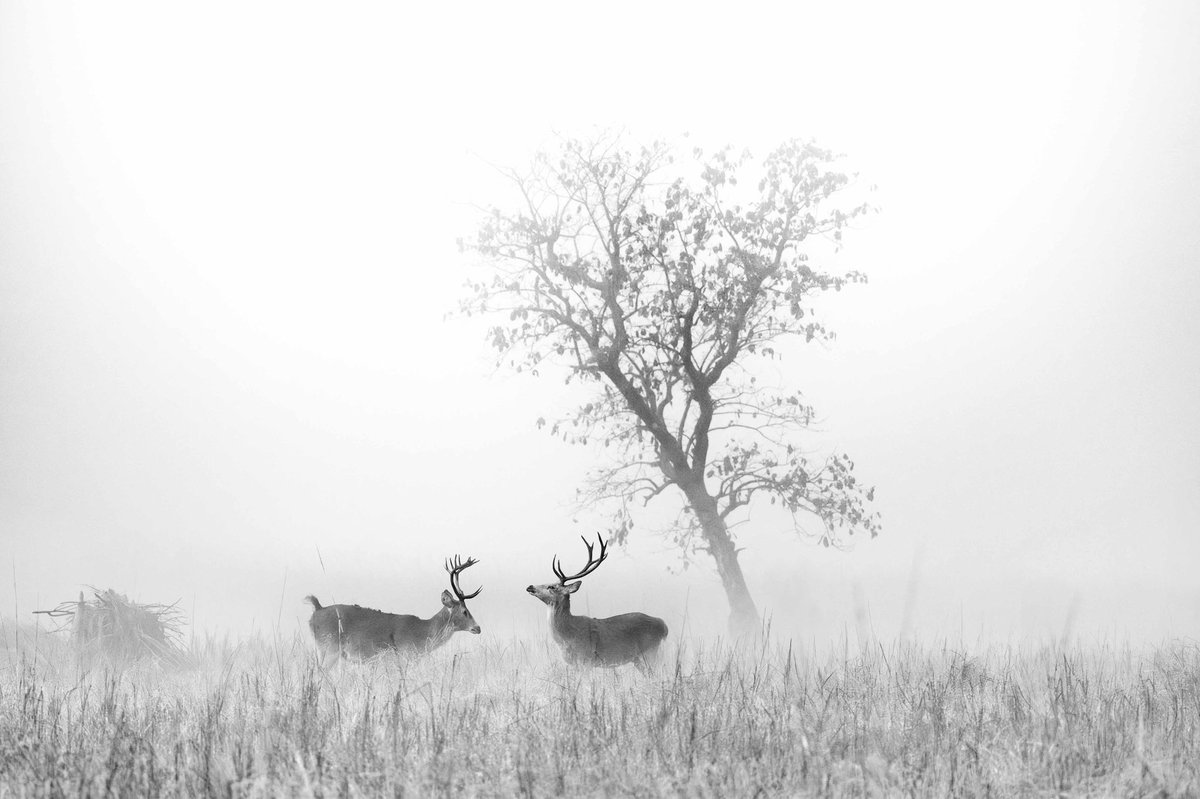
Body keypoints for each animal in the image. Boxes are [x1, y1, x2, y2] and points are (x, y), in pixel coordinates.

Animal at [305, 555, 482, 665]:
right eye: (465, 611)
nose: (478, 628)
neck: (423, 631)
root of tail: (317, 610)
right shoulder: (404, 656)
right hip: (329, 649)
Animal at [526, 534, 668, 669]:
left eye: (552, 587)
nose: (530, 586)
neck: (567, 637)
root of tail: (664, 626)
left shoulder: (586, 659)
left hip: (651, 653)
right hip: (638, 660)